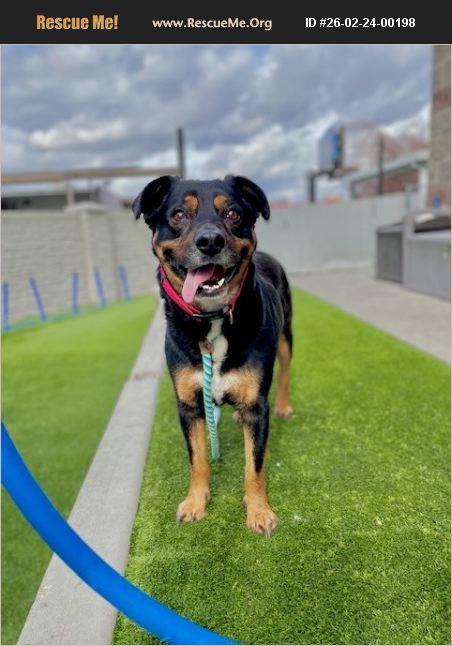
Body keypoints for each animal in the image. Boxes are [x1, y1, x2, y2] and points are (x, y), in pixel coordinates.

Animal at [133, 175, 293, 536]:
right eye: (178, 214)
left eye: (233, 213)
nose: (210, 241)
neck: (212, 320)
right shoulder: (189, 406)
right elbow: (198, 459)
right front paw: (195, 503)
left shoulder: (256, 407)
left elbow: (254, 466)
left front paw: (259, 511)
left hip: (286, 339)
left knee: (285, 373)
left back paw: (284, 406)